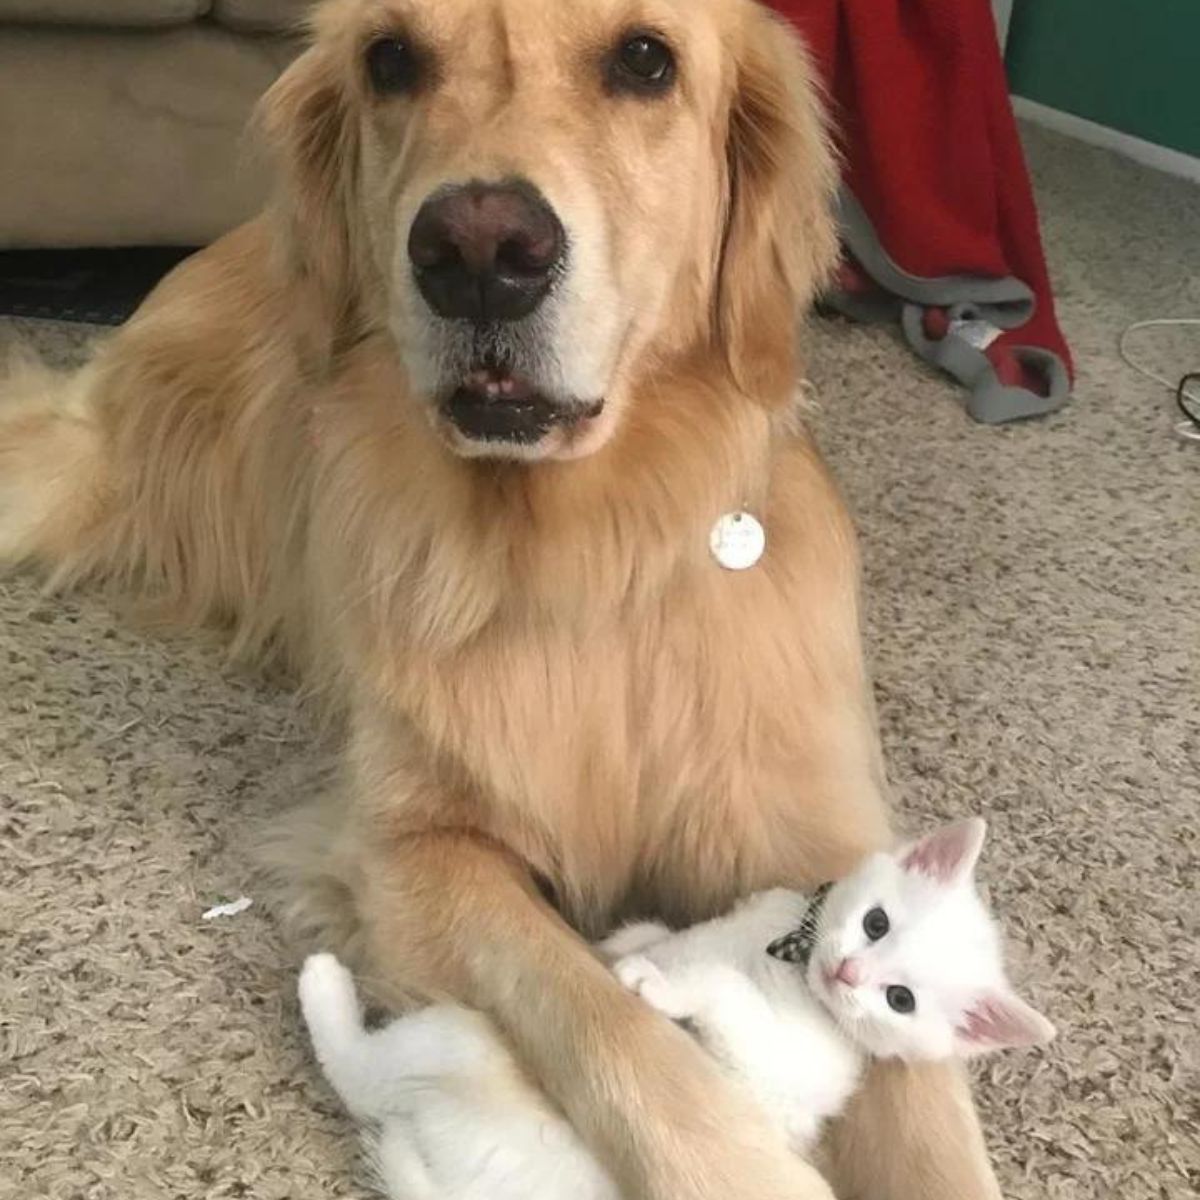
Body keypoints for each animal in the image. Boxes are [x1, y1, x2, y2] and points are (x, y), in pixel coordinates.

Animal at [297, 820, 1051, 1195]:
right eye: (876, 922)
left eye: (900, 1000)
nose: (848, 971)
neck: (785, 955)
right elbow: (664, 936)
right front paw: (621, 945)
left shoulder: (772, 1068)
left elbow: (720, 987)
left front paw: (658, 985)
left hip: (462, 1040)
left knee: (359, 1079)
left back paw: (321, 984)